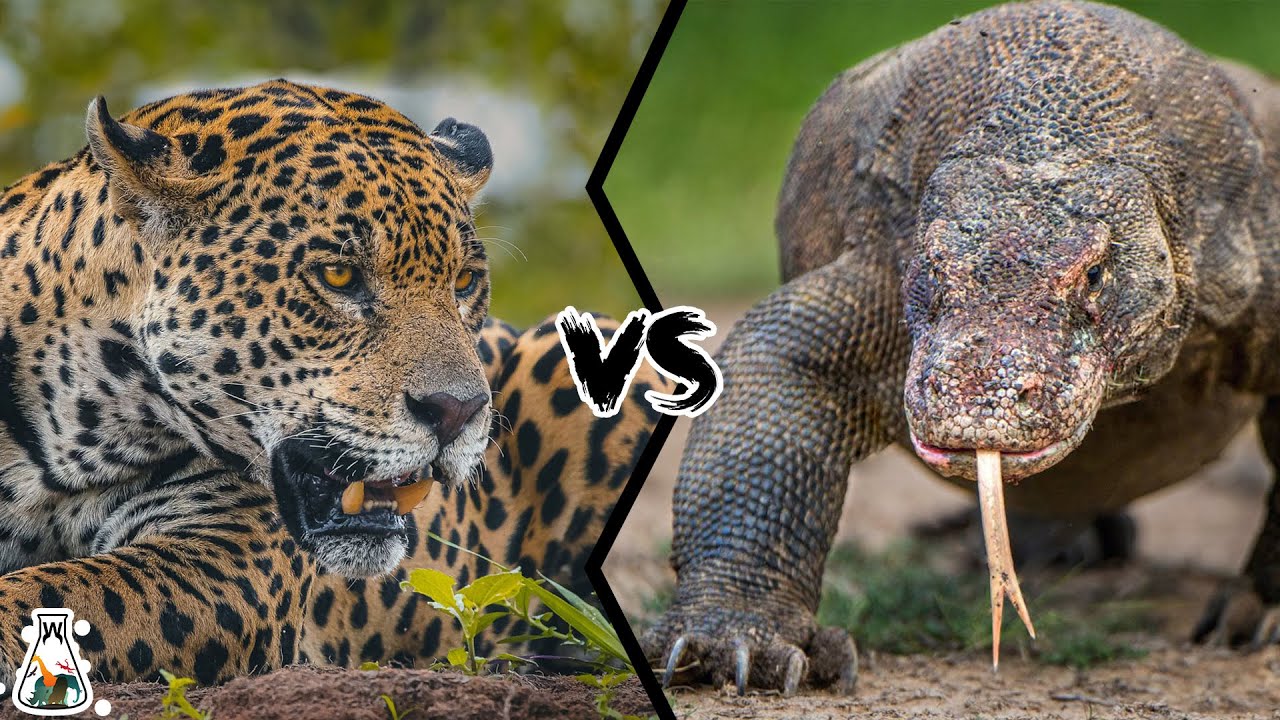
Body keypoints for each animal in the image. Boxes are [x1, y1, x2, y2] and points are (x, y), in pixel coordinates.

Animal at [0, 79, 659, 685]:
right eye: (339, 276)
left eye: (465, 280)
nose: (459, 411)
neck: (78, 427)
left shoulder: (227, 560)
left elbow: (52, 593)